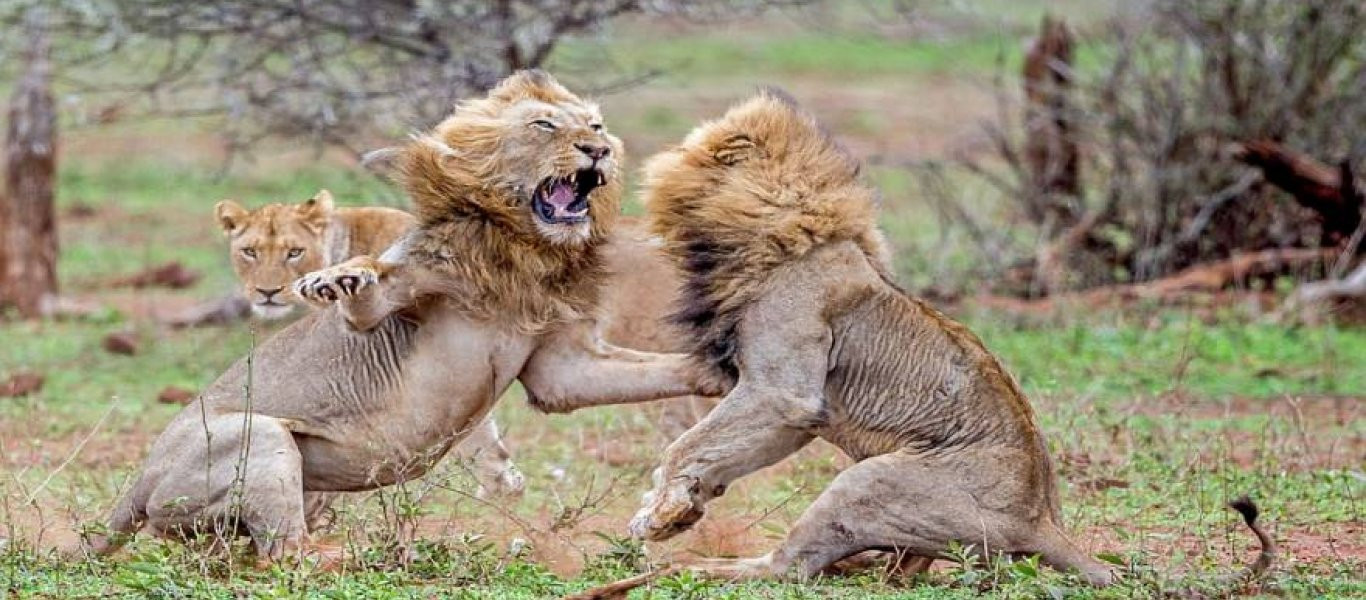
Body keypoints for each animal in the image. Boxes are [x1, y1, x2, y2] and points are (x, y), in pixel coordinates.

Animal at [88, 70, 726, 563]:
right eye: (545, 126)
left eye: (594, 125)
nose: (599, 151)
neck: (524, 249)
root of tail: (140, 478)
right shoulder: (399, 295)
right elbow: (367, 293)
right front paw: (336, 280)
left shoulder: (561, 364)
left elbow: (651, 369)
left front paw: (720, 374)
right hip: (261, 434)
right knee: (286, 553)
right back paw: (391, 552)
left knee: (257, 550)